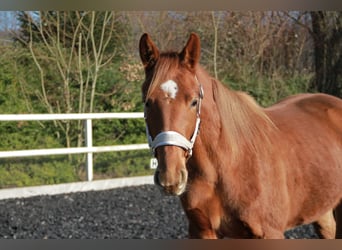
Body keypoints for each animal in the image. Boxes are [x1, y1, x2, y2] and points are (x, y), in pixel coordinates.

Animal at [139, 32, 342, 238]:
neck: (229, 165)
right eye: (147, 102)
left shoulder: (270, 232)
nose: (170, 177)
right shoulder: (201, 231)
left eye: (194, 101)